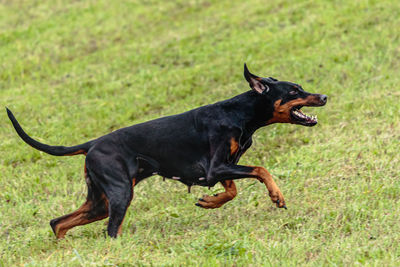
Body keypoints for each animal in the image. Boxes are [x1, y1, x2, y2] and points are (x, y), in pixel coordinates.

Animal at [6, 64, 326, 239]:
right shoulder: (216, 167)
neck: (238, 113)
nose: (323, 96)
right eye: (294, 91)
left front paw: (209, 202)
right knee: (110, 231)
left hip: (100, 202)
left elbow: (231, 191)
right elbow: (261, 169)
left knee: (57, 223)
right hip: (120, 194)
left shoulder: (222, 167)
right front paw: (276, 196)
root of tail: (92, 144)